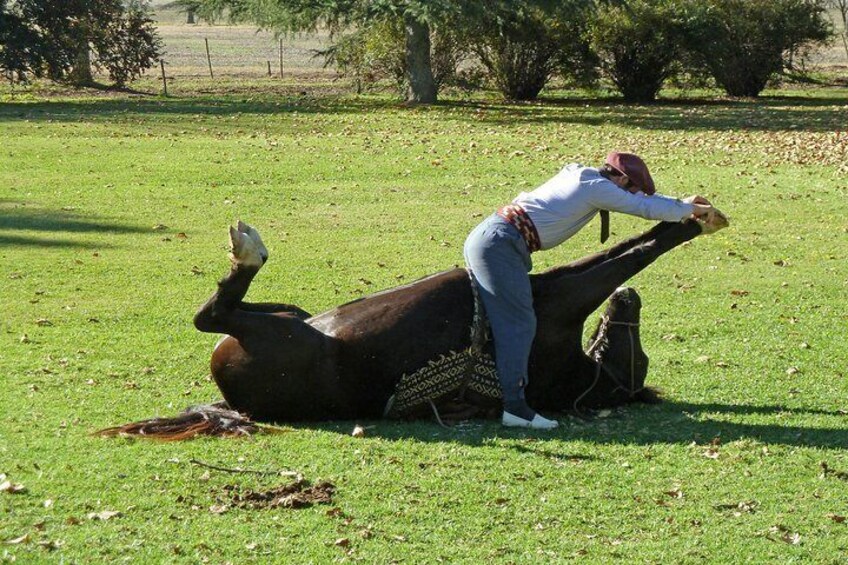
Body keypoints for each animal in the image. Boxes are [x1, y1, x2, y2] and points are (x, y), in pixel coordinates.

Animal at [182, 214, 724, 426]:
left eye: (634, 353)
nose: (628, 301)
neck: (581, 375)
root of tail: (233, 399)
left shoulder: (565, 302)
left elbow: (627, 259)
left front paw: (688, 225)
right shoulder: (555, 286)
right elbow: (619, 252)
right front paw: (686, 216)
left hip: (278, 336)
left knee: (212, 316)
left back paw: (248, 252)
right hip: (294, 316)